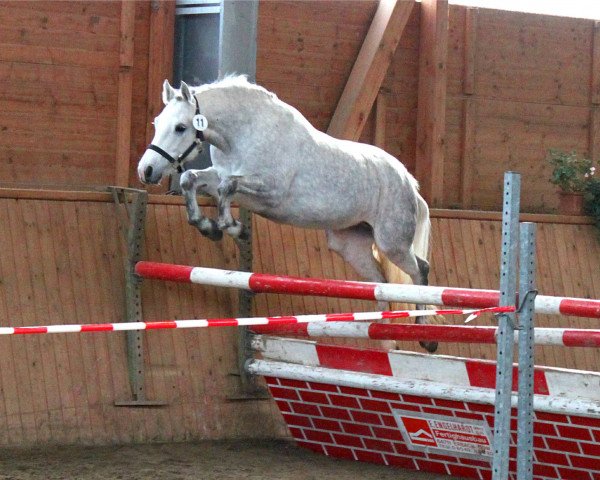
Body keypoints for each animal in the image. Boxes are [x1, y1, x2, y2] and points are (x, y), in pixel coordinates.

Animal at [136, 76, 436, 352]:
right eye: (156, 123)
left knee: (419, 270)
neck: (245, 132)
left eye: (180, 127)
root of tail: (408, 181)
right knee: (380, 283)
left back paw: (426, 337)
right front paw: (209, 227)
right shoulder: (220, 177)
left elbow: (227, 187)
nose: (146, 171)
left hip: (392, 242)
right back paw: (383, 332)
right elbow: (190, 179)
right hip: (350, 245)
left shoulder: (269, 190)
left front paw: (234, 228)